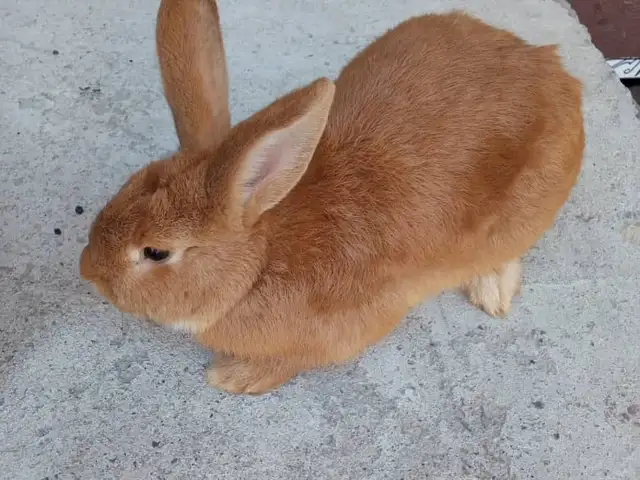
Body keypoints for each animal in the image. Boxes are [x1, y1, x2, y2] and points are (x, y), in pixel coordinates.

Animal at [79, 0, 584, 394]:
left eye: (156, 252)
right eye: (125, 188)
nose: (88, 271)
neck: (257, 266)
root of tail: (553, 68)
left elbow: (292, 362)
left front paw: (234, 377)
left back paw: (491, 292)